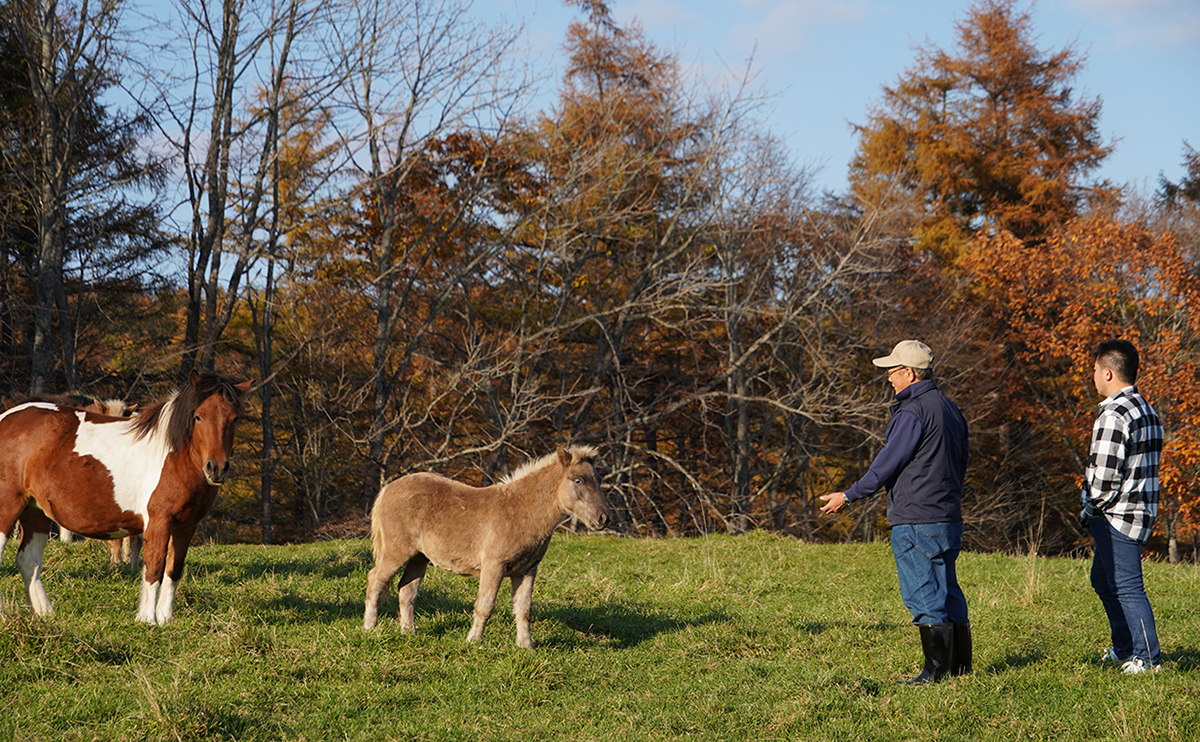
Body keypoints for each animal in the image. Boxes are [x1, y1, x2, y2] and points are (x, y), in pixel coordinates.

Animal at [0, 372, 248, 619]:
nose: (216, 468)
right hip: (8, 508)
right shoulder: (158, 521)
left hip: (36, 512)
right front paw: (147, 620)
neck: (174, 456)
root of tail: (6, 418)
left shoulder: (186, 526)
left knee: (29, 561)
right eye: (198, 417)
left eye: (235, 418)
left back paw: (46, 614)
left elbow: (173, 571)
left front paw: (166, 620)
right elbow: (154, 568)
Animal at [362, 444, 609, 648]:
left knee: (406, 590)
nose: (603, 518)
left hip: (418, 558)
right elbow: (485, 605)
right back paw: (369, 628)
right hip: (396, 552)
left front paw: (526, 646)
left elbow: (524, 609)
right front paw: (474, 641)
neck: (521, 511)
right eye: (578, 480)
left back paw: (408, 632)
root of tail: (388, 488)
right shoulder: (493, 566)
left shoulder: (527, 570)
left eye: (597, 479)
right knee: (375, 580)